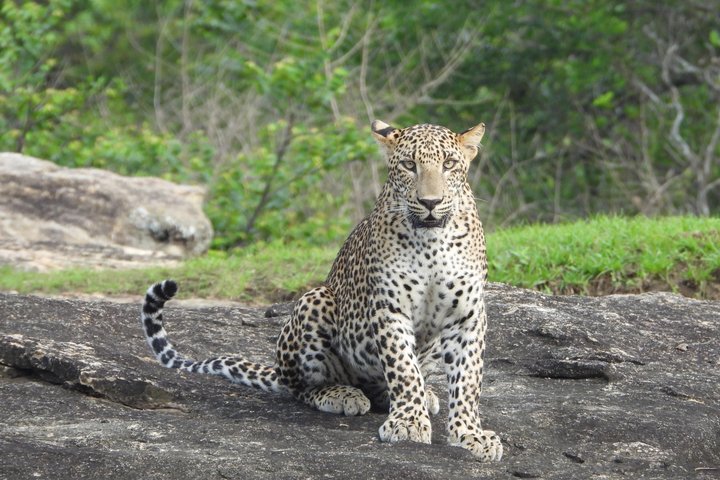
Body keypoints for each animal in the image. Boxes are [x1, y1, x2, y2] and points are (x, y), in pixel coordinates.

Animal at [140, 120, 503, 462]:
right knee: (300, 387)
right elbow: (402, 368)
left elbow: (468, 380)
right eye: (409, 165)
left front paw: (470, 434)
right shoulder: (389, 309)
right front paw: (409, 422)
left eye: (449, 164)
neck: (432, 242)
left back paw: (422, 396)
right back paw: (343, 395)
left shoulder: (468, 315)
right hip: (315, 300)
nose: (430, 202)